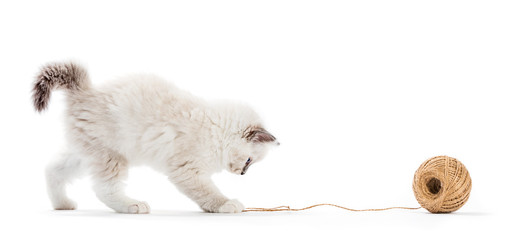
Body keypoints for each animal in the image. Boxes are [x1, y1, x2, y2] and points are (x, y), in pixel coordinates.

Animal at [32, 62, 278, 214]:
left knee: (52, 170)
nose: (242, 174)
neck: (215, 130)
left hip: (84, 154)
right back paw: (133, 206)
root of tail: (86, 91)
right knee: (104, 189)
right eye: (249, 161)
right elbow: (209, 193)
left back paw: (62, 204)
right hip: (110, 156)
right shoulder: (187, 170)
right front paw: (226, 204)